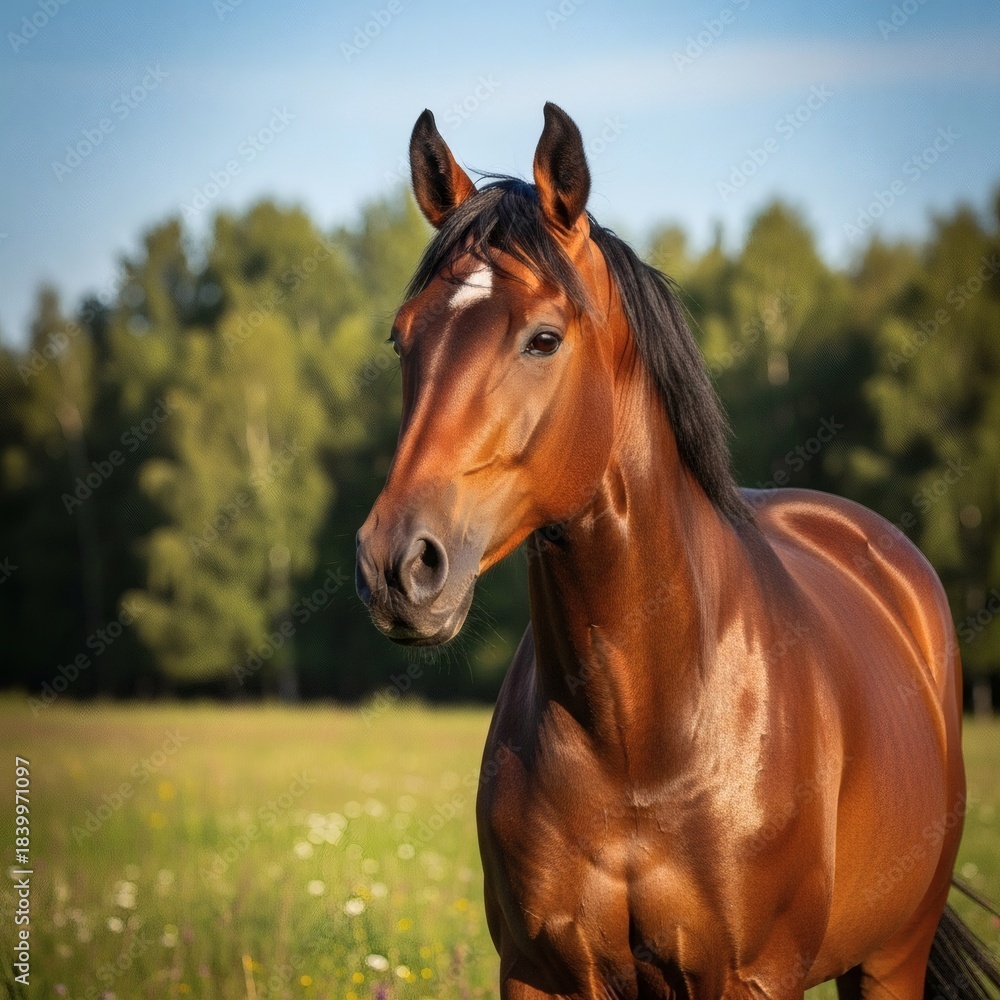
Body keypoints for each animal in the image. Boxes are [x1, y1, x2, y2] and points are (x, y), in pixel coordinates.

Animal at [355, 102, 998, 1000]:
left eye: (543, 338)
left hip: (891, 958)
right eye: (401, 340)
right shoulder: (538, 972)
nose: (398, 565)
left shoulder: (751, 978)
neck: (641, 736)